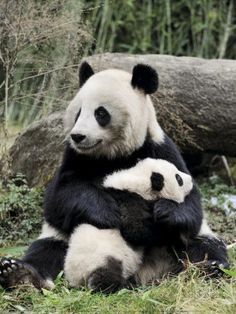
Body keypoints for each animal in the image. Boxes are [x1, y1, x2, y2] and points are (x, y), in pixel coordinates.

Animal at [63, 157, 194, 290]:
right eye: (179, 179)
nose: (191, 179)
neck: (137, 180)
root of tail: (77, 280)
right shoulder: (128, 202)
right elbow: (137, 231)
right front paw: (167, 230)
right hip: (100, 258)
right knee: (106, 276)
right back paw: (124, 285)